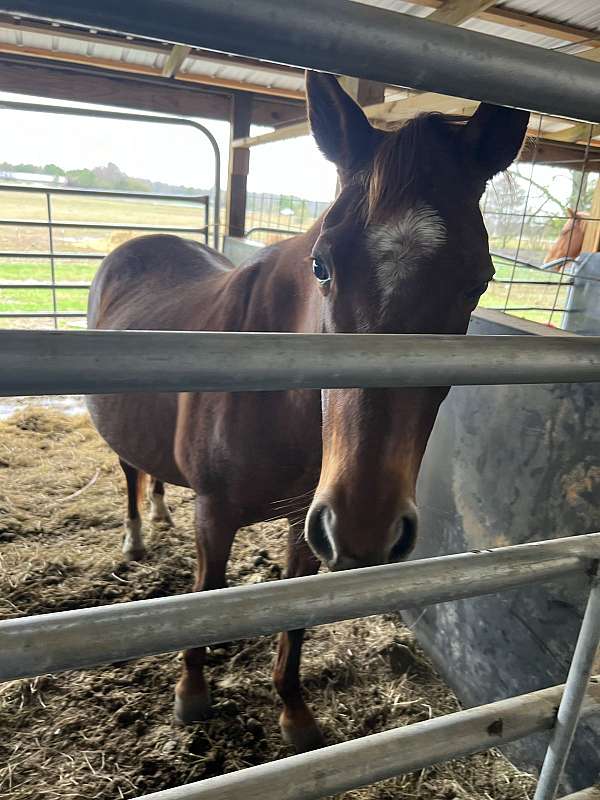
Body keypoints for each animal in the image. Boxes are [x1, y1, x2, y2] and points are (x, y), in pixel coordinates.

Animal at [84, 72, 524, 752]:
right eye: (322, 264)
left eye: (478, 280)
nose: (367, 528)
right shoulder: (216, 513)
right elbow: (205, 598)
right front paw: (192, 695)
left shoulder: (306, 521)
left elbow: (295, 614)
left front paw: (294, 712)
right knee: (131, 470)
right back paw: (136, 535)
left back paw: (158, 509)